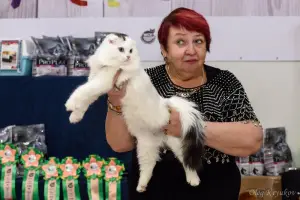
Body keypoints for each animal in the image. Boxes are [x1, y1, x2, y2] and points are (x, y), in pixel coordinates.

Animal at [65, 33, 206, 191]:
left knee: (188, 165)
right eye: (121, 49)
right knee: (148, 167)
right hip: (145, 147)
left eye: (131, 51)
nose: (127, 56)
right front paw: (75, 116)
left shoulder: (103, 81)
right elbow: (84, 102)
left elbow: (81, 91)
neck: (108, 63)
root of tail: (167, 104)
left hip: (178, 145)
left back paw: (194, 181)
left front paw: (69, 104)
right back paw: (141, 186)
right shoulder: (96, 82)